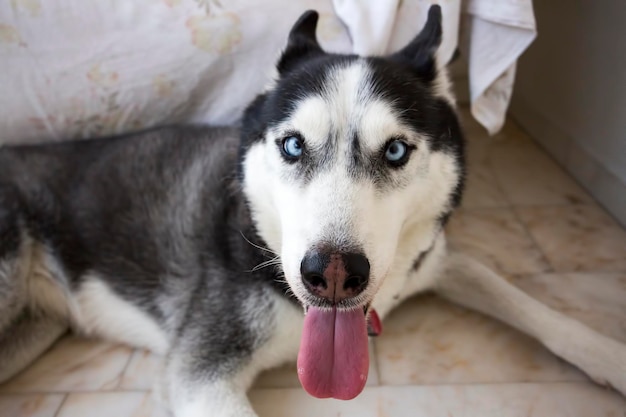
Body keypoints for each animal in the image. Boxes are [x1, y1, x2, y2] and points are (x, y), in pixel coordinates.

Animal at [1, 6, 624, 416]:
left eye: (395, 151)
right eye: (293, 145)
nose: (334, 274)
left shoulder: (434, 261)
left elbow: (525, 300)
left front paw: (609, 357)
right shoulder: (201, 375)